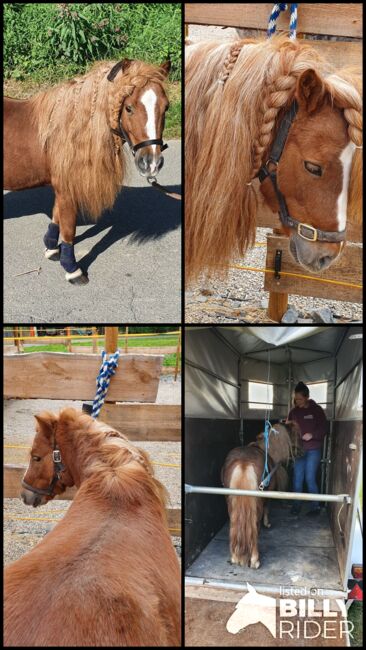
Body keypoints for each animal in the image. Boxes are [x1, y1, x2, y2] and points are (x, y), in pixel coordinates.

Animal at [4, 58, 170, 284]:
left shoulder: (63, 187)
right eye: (128, 108)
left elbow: (57, 218)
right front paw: (72, 268)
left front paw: (51, 250)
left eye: (166, 107)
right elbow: (68, 228)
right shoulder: (67, 189)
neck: (71, 129)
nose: (151, 162)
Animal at [222, 420, 304, 568]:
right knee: (255, 526)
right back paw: (255, 560)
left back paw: (235, 557)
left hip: (230, 502)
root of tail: (244, 463)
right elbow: (267, 508)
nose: (303, 452)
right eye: (295, 436)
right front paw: (267, 523)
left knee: (234, 524)